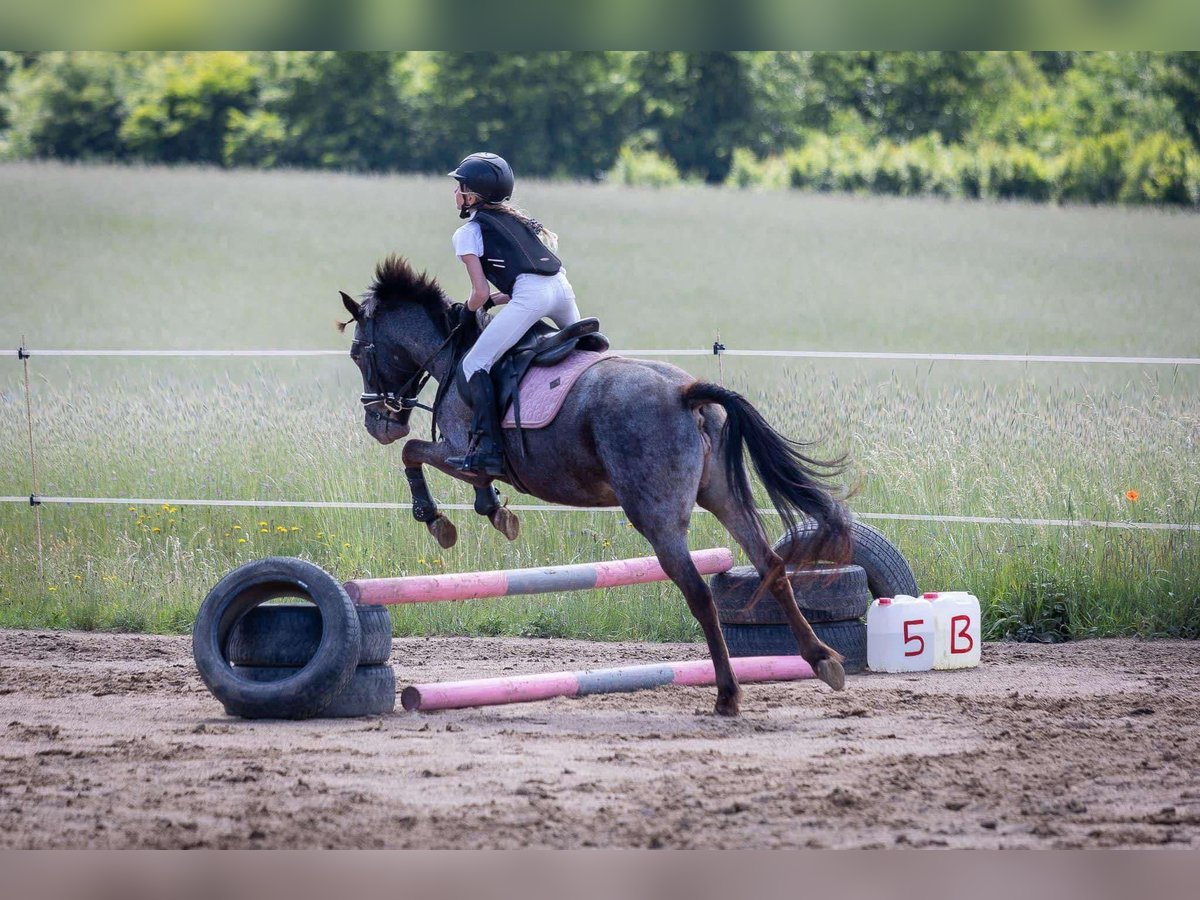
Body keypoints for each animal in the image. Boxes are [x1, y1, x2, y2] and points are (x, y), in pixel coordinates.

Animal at [338, 255, 854, 720]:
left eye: (359, 353)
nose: (379, 424)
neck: (456, 354)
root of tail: (685, 393)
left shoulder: (460, 451)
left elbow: (417, 455)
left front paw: (439, 520)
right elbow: (463, 476)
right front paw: (496, 511)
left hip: (656, 517)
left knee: (700, 594)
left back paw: (728, 695)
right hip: (722, 497)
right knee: (772, 567)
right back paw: (823, 661)